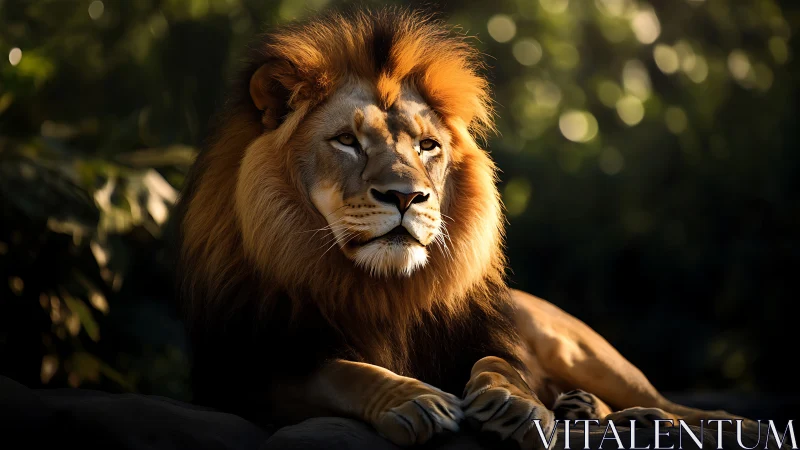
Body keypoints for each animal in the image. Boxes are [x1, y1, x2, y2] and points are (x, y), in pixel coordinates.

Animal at [173, 7, 758, 449]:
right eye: (346, 141)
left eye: (427, 146)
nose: (406, 196)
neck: (382, 290)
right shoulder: (247, 373)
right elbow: (341, 370)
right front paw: (413, 401)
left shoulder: (484, 337)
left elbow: (501, 362)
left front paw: (512, 405)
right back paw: (593, 412)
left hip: (580, 348)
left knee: (669, 402)